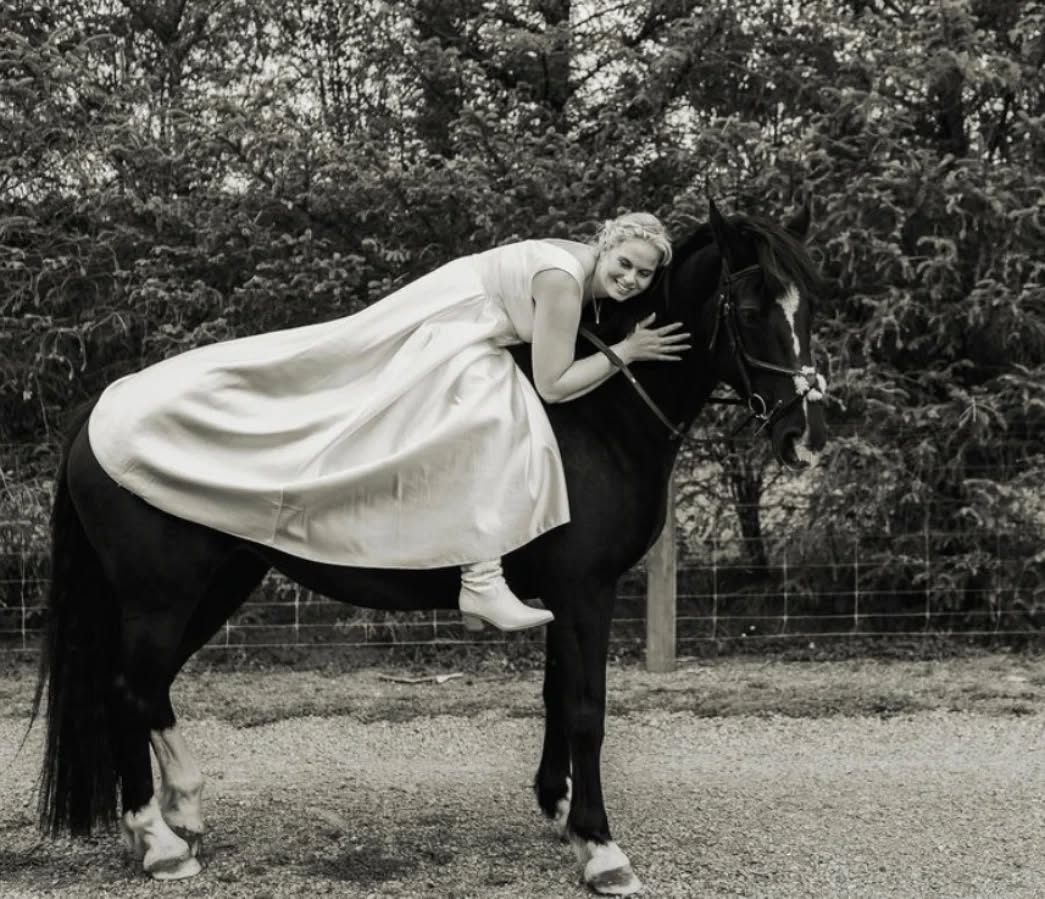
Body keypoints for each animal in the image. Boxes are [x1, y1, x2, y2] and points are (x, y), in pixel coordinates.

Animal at [30, 199, 828, 895]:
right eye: (749, 310)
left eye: (808, 309)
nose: (802, 437)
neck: (598, 414)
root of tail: (102, 406)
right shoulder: (587, 591)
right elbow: (585, 707)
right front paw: (601, 849)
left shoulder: (564, 596)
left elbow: (553, 694)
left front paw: (558, 810)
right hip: (161, 596)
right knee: (128, 690)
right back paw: (159, 843)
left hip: (219, 583)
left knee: (152, 688)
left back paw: (184, 810)